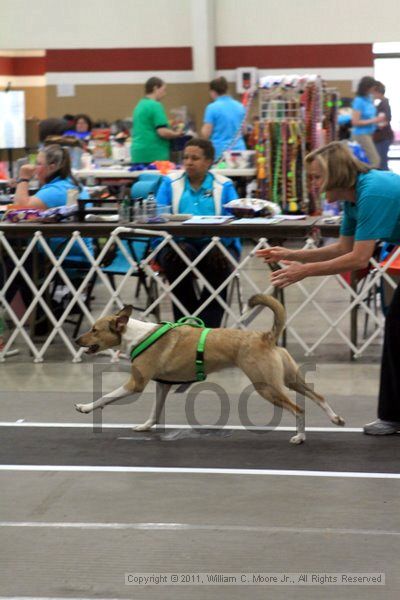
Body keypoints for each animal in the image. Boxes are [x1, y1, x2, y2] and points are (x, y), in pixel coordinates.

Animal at [76, 292, 346, 442]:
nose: (77, 340)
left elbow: (105, 397)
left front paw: (85, 407)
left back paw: (300, 436)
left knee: (298, 408)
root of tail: (266, 336)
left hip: (267, 386)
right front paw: (145, 427)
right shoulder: (163, 385)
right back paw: (335, 418)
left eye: (94, 330)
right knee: (317, 396)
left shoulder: (136, 384)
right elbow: (155, 411)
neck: (136, 334)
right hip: (290, 379)